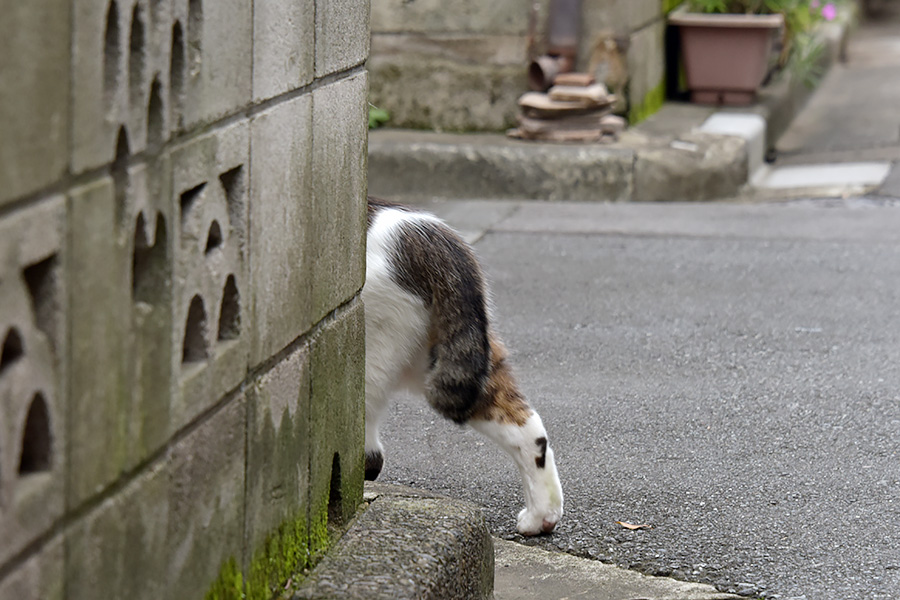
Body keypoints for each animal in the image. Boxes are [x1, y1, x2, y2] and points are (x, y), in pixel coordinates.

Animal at [360, 199, 564, 536]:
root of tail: (428, 232)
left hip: (371, 355)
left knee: (364, 449)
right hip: (457, 363)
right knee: (527, 429)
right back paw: (541, 516)